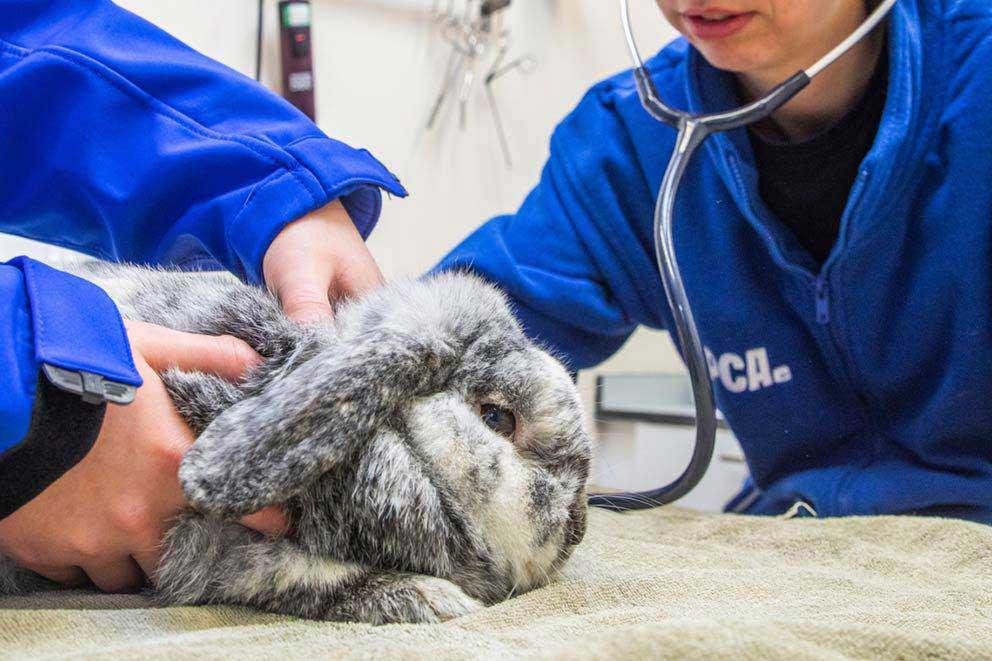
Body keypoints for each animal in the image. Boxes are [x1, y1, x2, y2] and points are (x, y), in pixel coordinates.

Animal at [0, 261, 592, 624]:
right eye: (497, 417)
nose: (576, 528)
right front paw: (441, 601)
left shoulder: (229, 559)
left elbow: (319, 582)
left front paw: (429, 599)